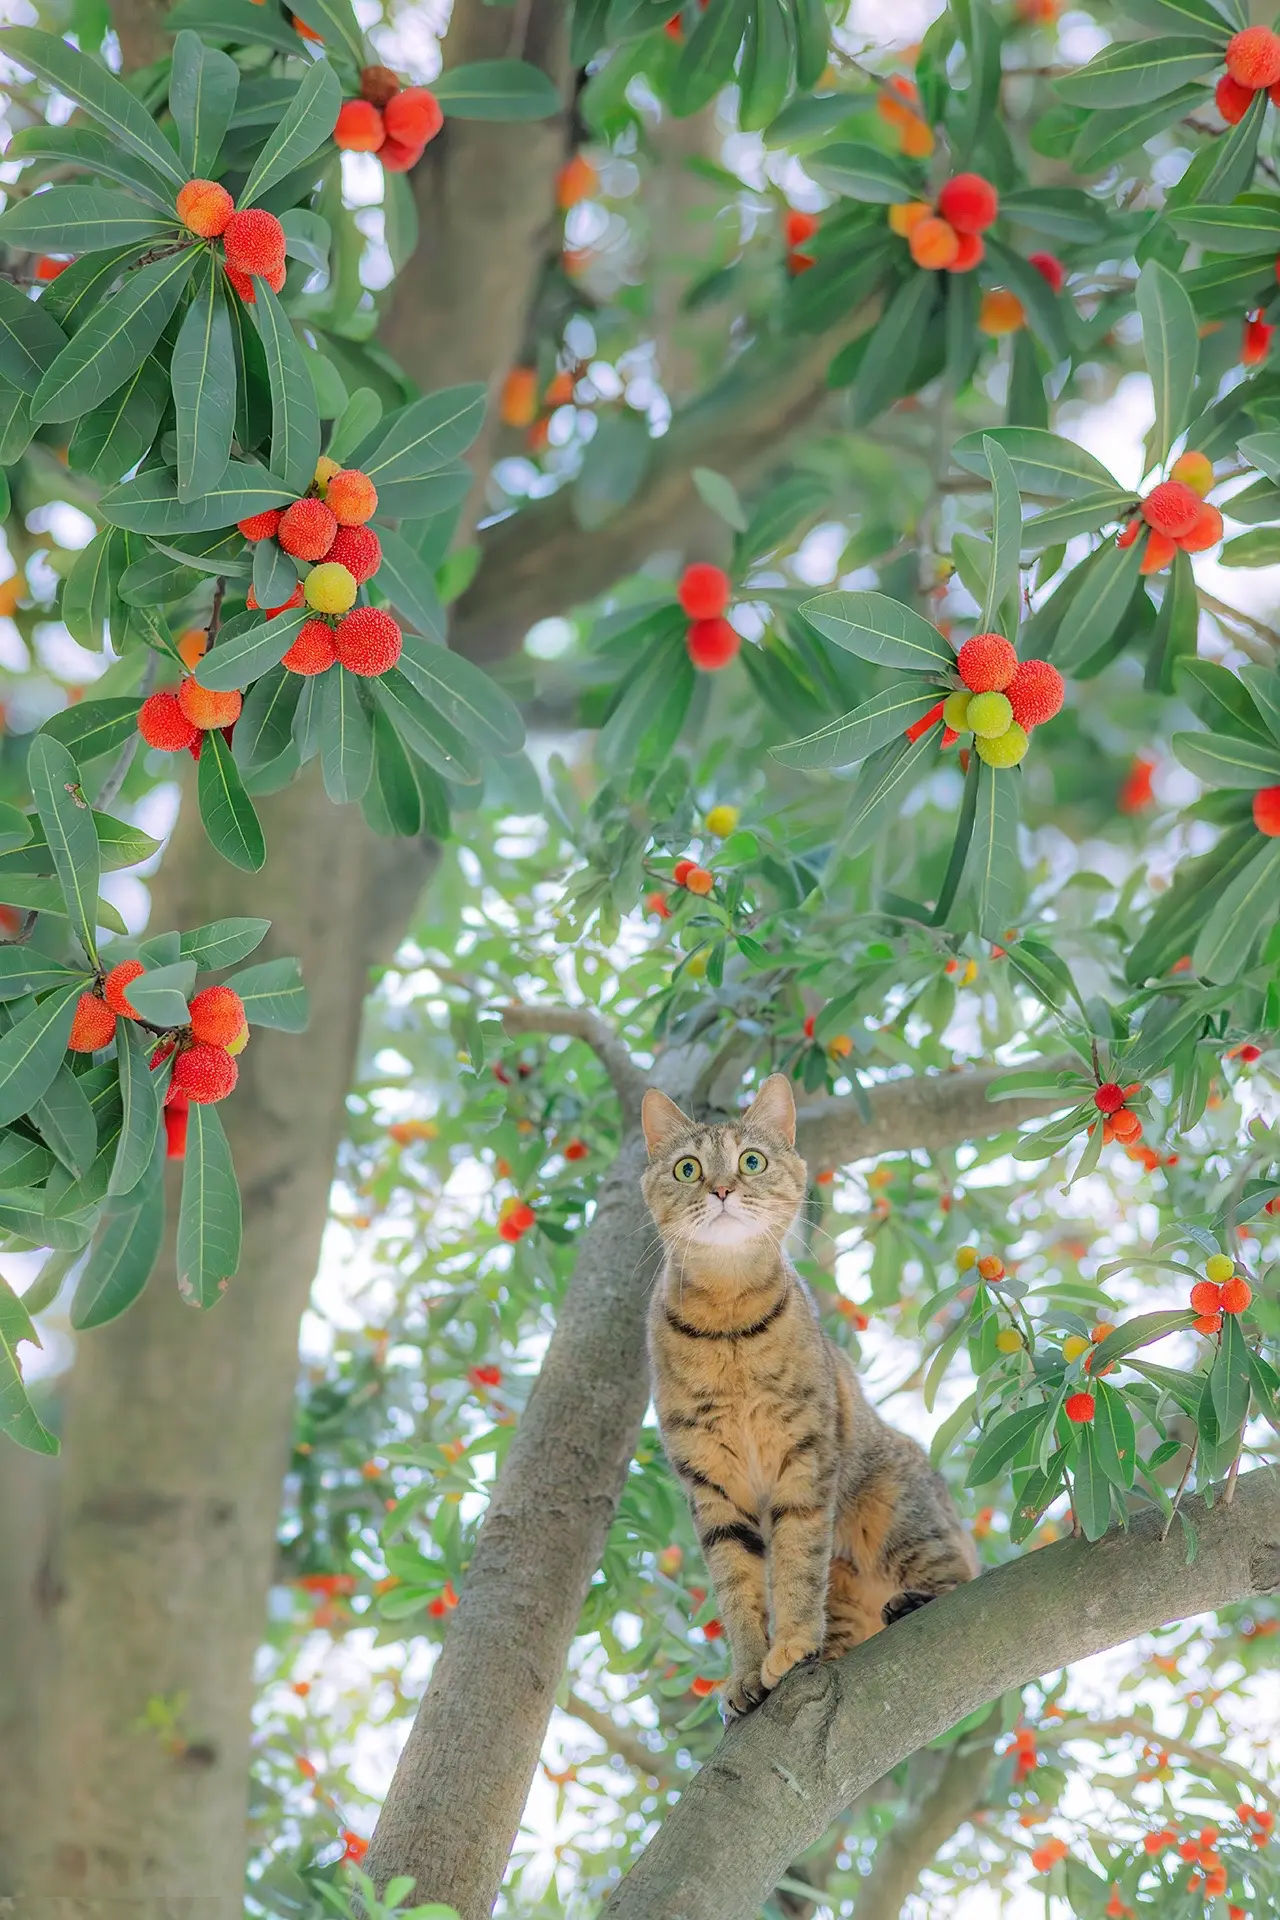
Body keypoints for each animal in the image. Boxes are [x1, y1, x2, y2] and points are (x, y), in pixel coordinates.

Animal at [644, 1075, 974, 1720]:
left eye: (752, 1161)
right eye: (688, 1169)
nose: (722, 1189)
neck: (728, 1322)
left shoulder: (805, 1458)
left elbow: (797, 1567)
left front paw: (793, 1644)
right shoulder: (711, 1485)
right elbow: (737, 1588)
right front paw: (749, 1670)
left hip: (896, 1514)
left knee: (964, 1573)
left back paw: (910, 1603)